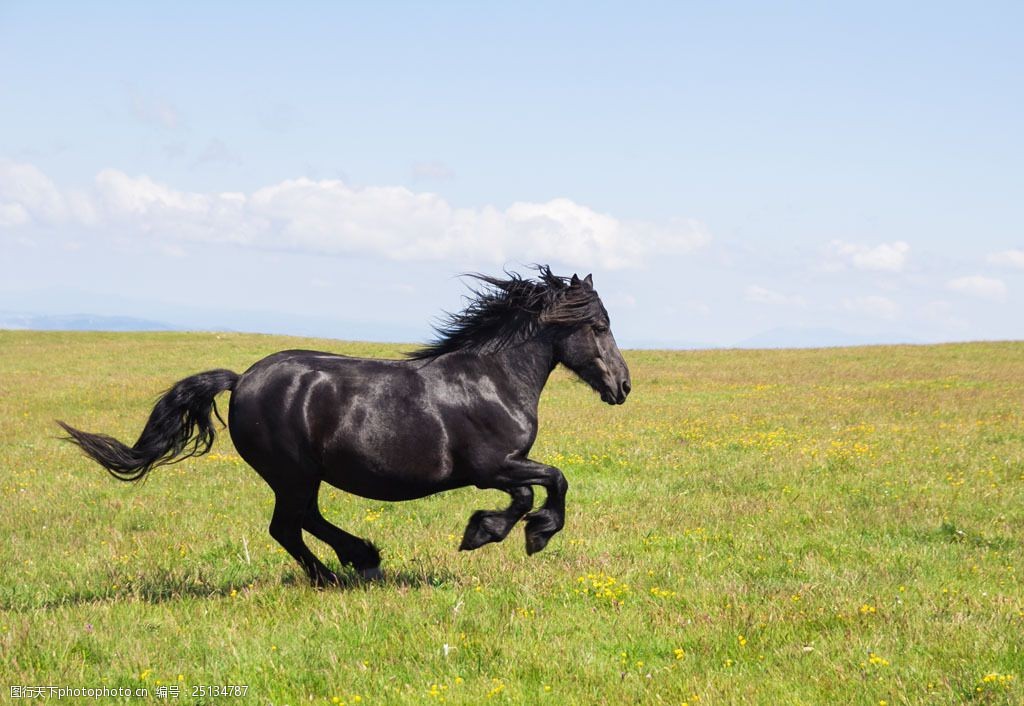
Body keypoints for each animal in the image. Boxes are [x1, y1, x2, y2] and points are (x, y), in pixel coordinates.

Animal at [59, 266, 630, 586]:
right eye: (599, 326)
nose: (622, 386)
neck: (492, 379)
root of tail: (241, 380)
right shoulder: (493, 466)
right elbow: (551, 482)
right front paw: (514, 534)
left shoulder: (502, 469)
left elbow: (533, 490)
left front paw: (493, 531)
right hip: (292, 472)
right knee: (290, 525)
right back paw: (351, 566)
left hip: (298, 476)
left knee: (296, 523)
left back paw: (352, 563)